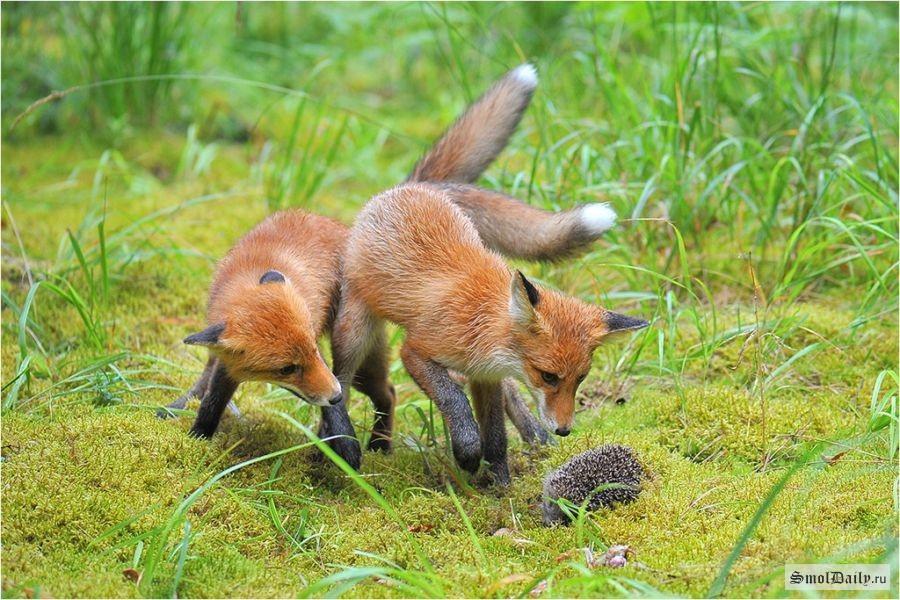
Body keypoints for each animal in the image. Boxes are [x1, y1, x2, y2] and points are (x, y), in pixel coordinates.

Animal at [332, 67, 648, 488]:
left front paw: (499, 480)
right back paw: (342, 441)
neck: (484, 326)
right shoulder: (417, 351)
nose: (565, 429)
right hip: (354, 329)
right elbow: (455, 403)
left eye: (581, 378)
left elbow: (496, 432)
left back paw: (536, 437)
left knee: (512, 397)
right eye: (549, 376)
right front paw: (468, 454)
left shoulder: (486, 376)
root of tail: (414, 186)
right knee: (339, 382)